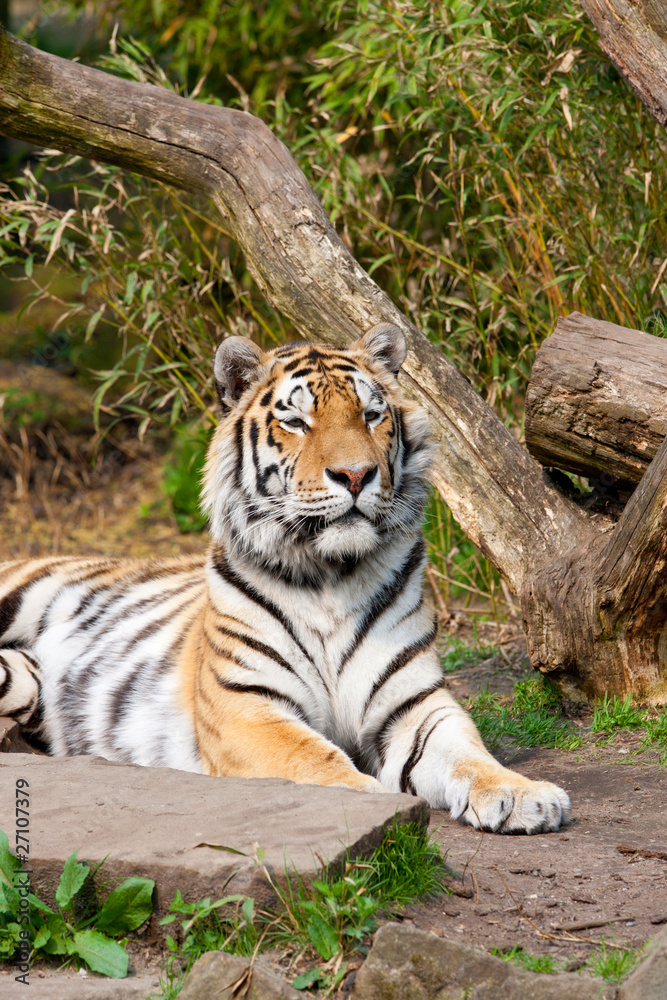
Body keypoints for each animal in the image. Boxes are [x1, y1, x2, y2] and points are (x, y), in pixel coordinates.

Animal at [0, 324, 570, 833]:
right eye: (296, 421)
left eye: (371, 415)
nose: (356, 475)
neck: (332, 573)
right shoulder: (246, 705)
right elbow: (316, 760)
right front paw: (377, 805)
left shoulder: (413, 704)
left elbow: (467, 751)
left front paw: (524, 796)